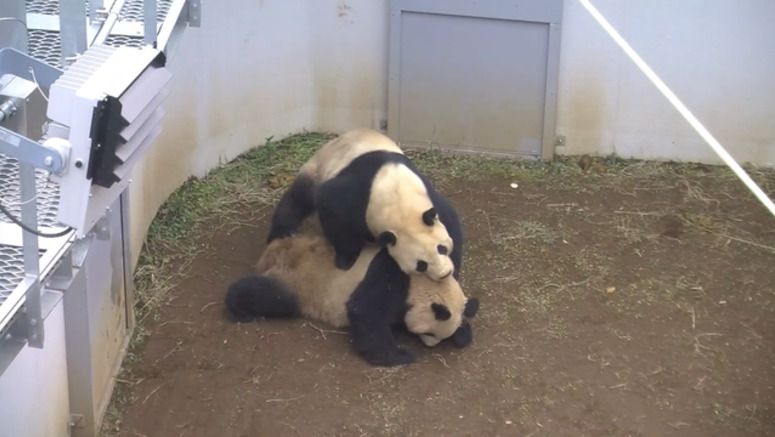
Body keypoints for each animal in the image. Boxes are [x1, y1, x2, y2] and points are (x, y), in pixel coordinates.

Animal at [268, 127, 460, 282]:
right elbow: (332, 210)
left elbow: (451, 222)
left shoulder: (427, 195)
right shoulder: (355, 196)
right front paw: (345, 259)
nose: (444, 274)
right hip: (316, 169)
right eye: (421, 265)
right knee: (297, 198)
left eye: (441, 248)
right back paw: (283, 232)